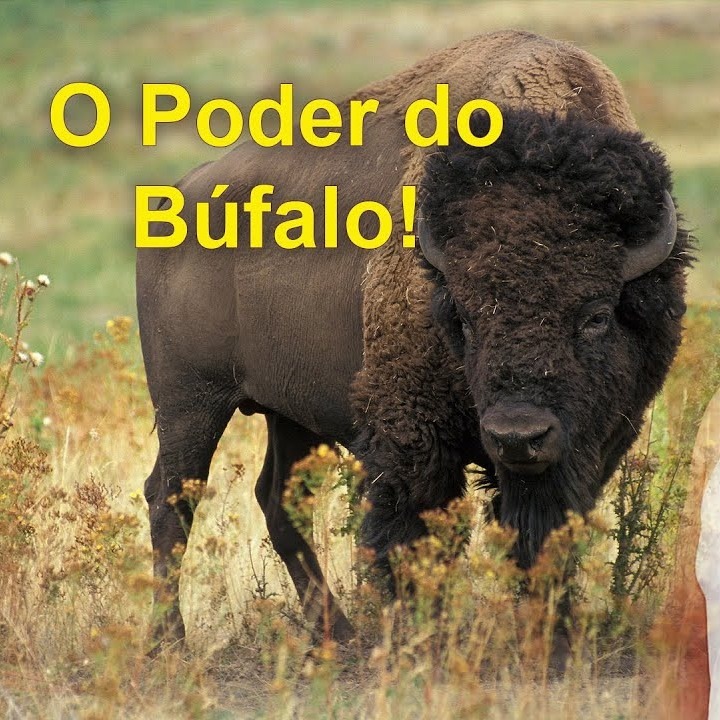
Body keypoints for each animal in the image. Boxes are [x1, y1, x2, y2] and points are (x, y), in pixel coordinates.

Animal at [137, 30, 691, 644]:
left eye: (596, 315)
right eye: (464, 317)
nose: (518, 436)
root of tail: (178, 194)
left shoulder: (593, 443)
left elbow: (545, 535)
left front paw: (551, 635)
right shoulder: (413, 438)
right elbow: (413, 537)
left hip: (289, 412)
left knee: (276, 500)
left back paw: (338, 635)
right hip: (191, 400)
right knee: (171, 499)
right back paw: (171, 642)